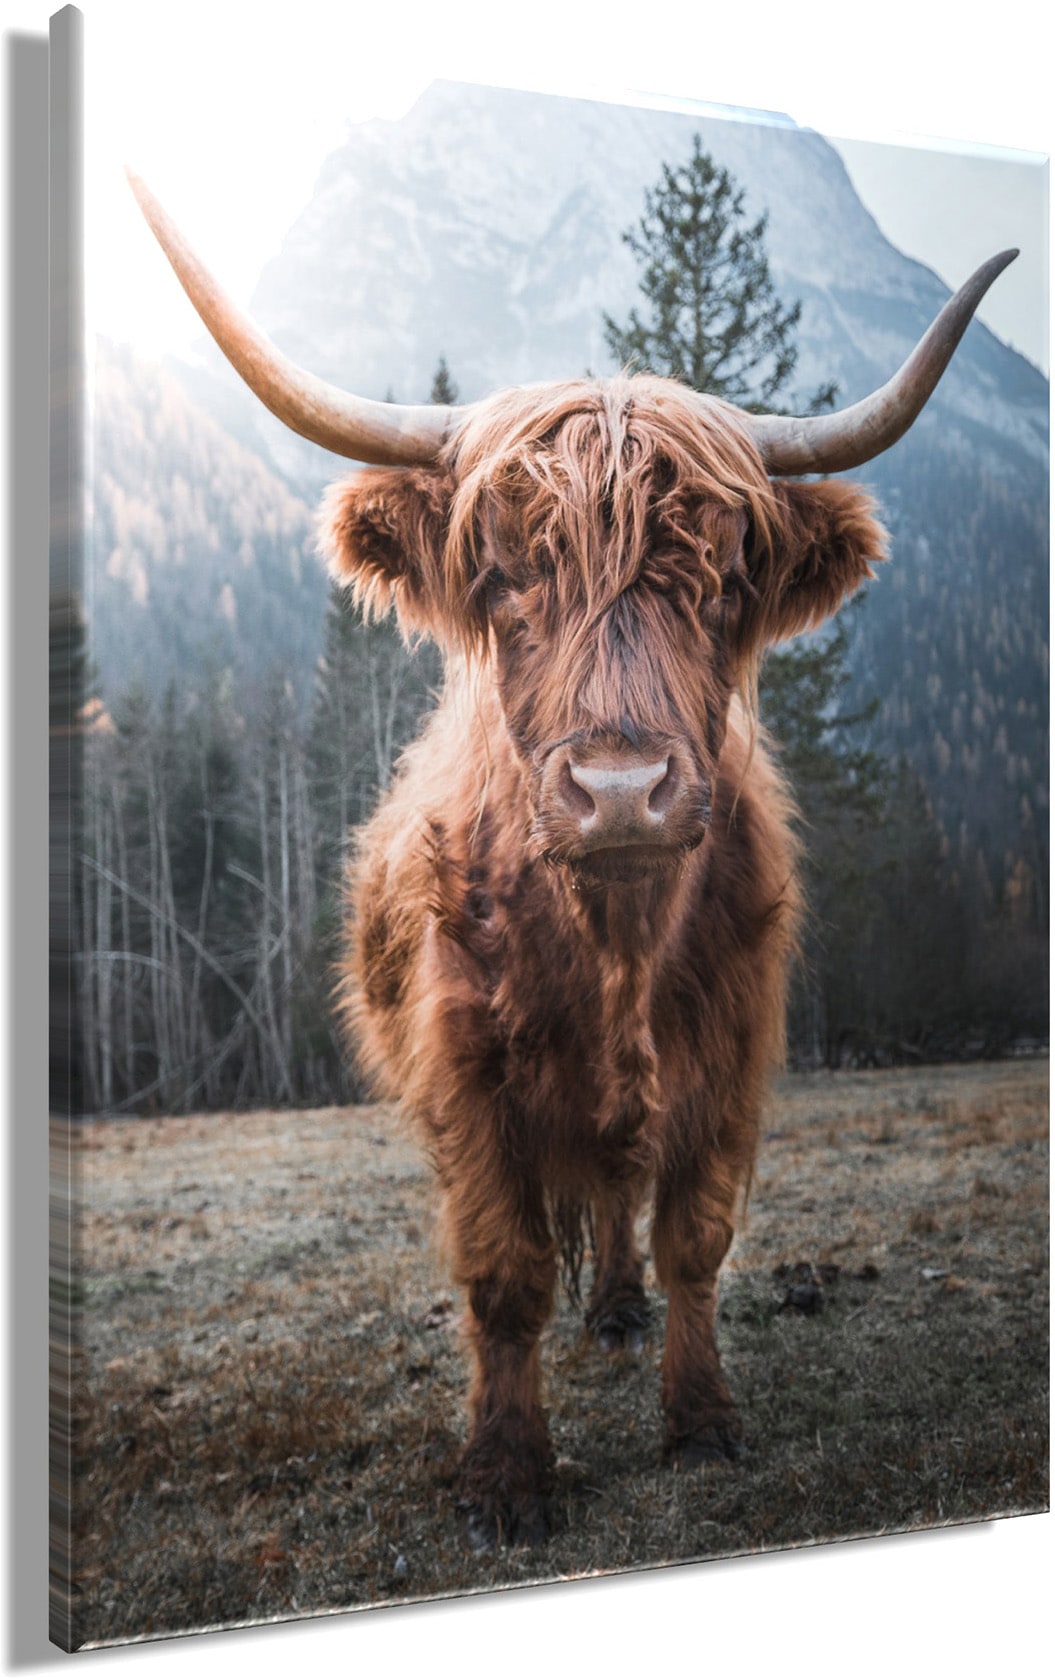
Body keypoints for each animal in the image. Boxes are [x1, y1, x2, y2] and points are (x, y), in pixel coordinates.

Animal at [129, 170, 1014, 1549]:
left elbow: (694, 1233)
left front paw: (699, 1421)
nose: (617, 792)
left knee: (615, 1191)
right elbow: (501, 1272)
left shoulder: (732, 1049)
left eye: (721, 579)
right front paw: (504, 1474)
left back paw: (616, 1308)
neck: (614, 946)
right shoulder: (464, 1069)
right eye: (502, 576)